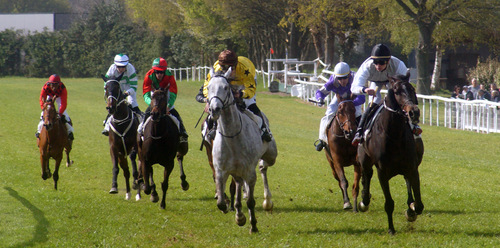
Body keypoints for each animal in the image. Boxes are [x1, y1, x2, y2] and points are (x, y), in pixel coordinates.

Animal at [207, 67, 278, 232]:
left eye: (225, 88)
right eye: (209, 87)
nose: (214, 109)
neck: (232, 136)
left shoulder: (249, 173)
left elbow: (251, 201)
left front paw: (254, 225)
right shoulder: (221, 171)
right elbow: (221, 202)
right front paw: (238, 216)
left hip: (271, 155)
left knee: (263, 167)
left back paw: (267, 201)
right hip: (236, 170)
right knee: (239, 183)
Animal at [356, 70, 426, 233]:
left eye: (412, 89)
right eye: (396, 91)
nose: (414, 112)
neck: (394, 134)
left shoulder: (412, 168)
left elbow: (419, 204)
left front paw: (411, 211)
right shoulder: (382, 172)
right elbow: (389, 203)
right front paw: (391, 229)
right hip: (365, 160)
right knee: (367, 175)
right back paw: (364, 201)